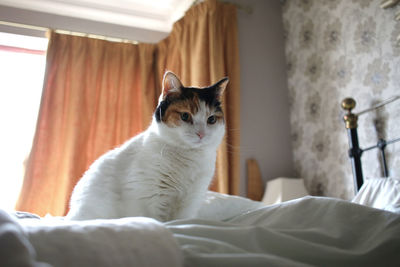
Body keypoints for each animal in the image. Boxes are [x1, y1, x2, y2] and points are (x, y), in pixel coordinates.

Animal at [67, 71, 227, 222]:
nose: (201, 134)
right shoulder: (150, 199)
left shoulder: (190, 202)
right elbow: (157, 221)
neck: (189, 158)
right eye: (185, 116)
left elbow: (179, 221)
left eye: (211, 119)